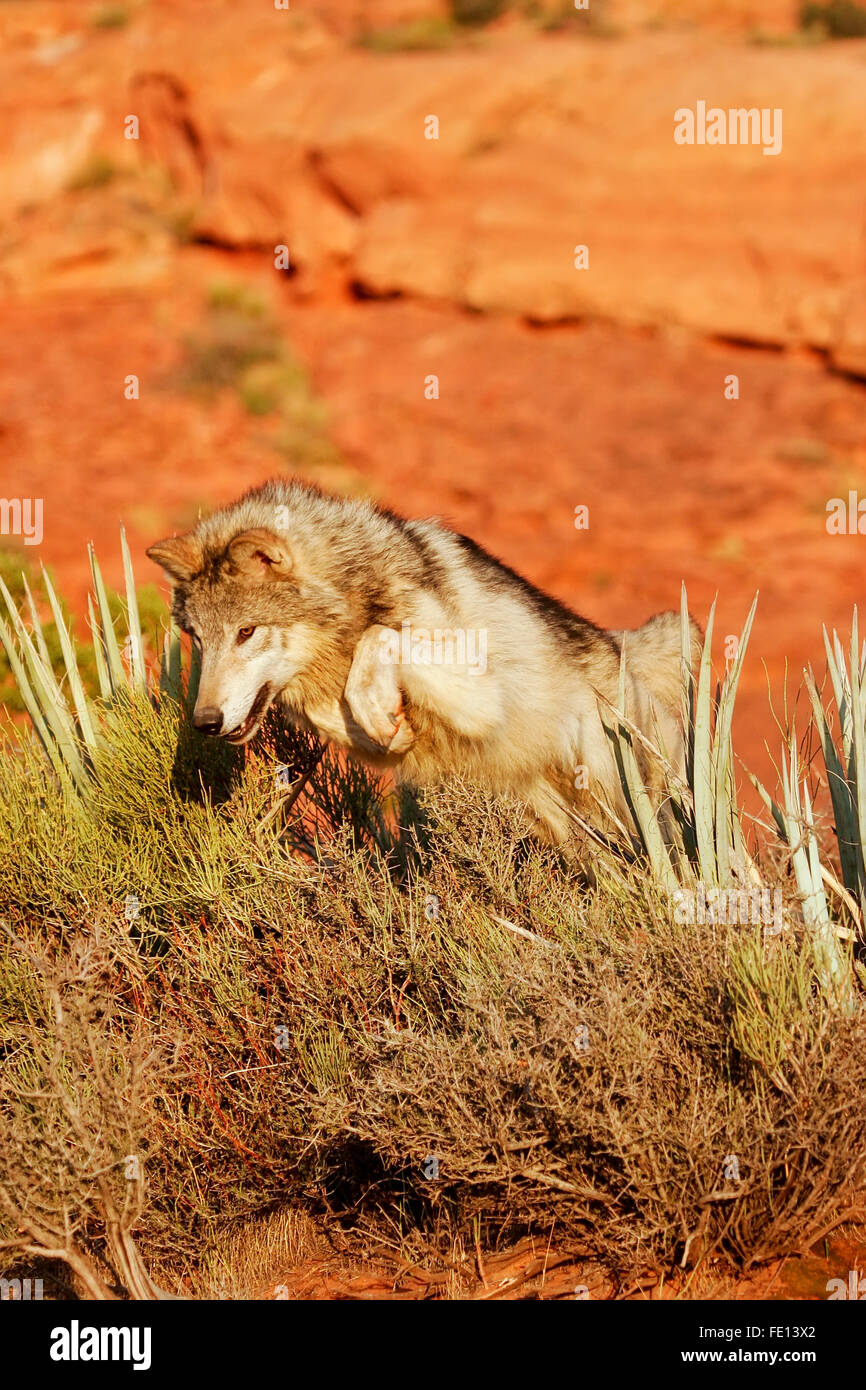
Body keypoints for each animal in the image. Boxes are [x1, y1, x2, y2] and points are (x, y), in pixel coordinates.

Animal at [147, 480, 701, 853]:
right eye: (198, 640)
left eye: (246, 632)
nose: (205, 722)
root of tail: (625, 649)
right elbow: (349, 718)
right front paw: (387, 723)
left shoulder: (481, 697)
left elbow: (379, 638)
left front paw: (375, 704)